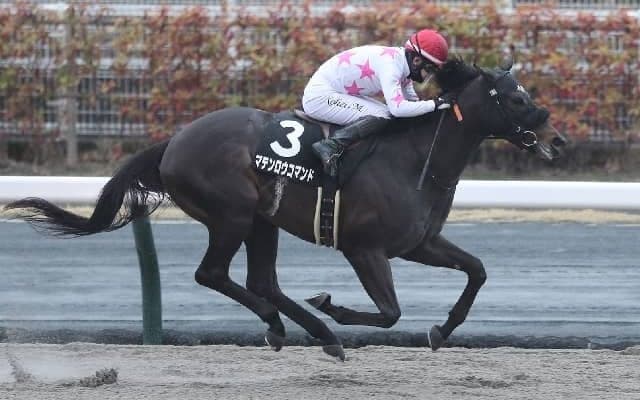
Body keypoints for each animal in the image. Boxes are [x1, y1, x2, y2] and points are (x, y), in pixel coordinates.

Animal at [5, 58, 567, 361]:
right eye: (516, 99)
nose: (557, 140)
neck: (414, 158)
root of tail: (174, 142)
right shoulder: (363, 248)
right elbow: (389, 312)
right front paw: (333, 305)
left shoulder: (419, 243)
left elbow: (477, 271)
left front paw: (439, 331)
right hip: (232, 215)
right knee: (213, 274)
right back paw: (307, 327)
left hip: (261, 220)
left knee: (261, 281)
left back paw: (300, 331)